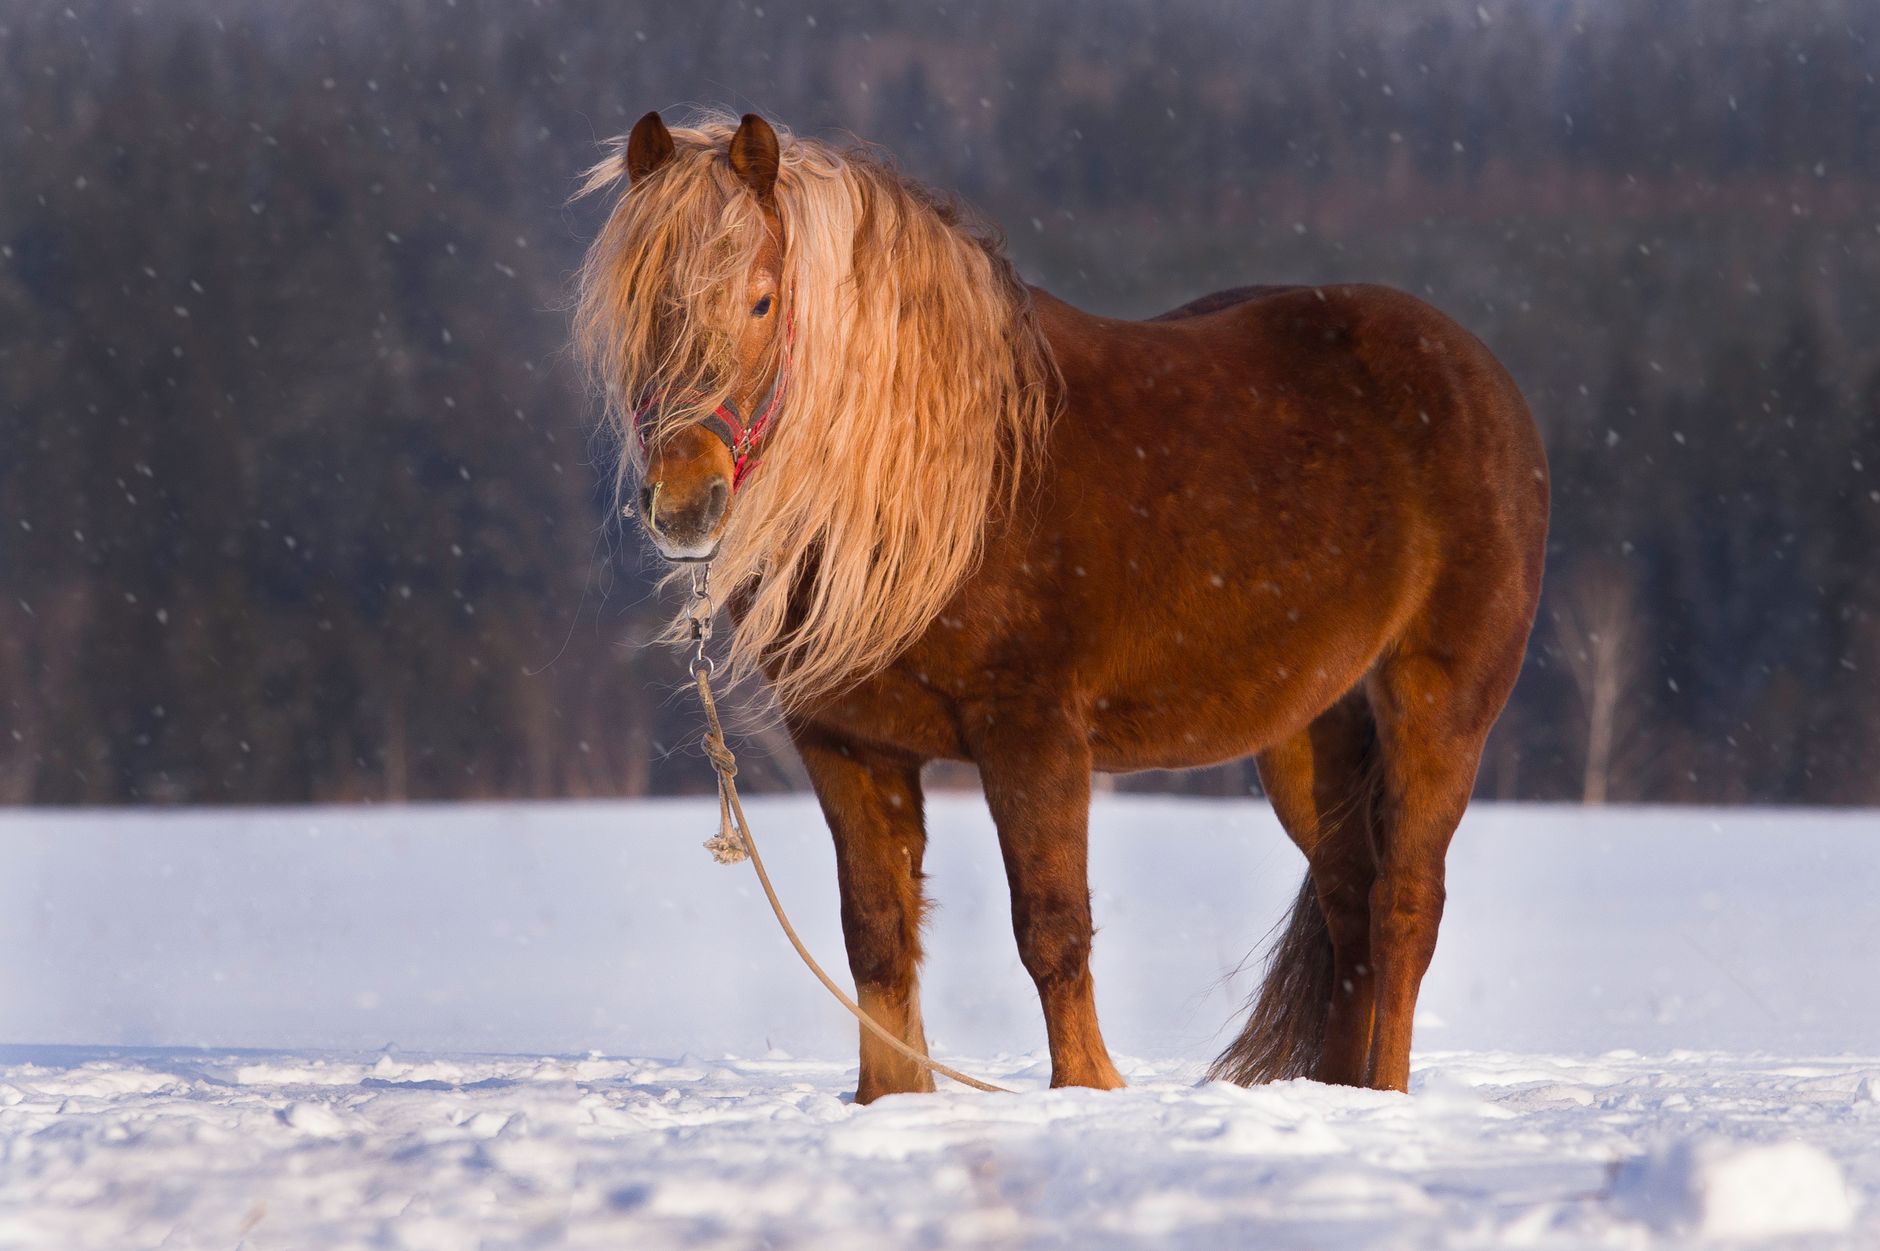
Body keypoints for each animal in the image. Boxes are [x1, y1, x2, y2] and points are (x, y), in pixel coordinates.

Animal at [576, 111, 1548, 1103]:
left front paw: (1088, 1091)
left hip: (1437, 709)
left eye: (764, 301)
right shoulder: (845, 741)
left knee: (1403, 908)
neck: (952, 479)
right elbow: (876, 934)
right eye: (640, 308)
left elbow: (1051, 926)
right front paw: (891, 1103)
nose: (684, 505)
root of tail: (1479, 374)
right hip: (1309, 730)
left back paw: (1385, 1091)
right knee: (1349, 902)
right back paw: (1341, 1096)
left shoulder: (1033, 730)